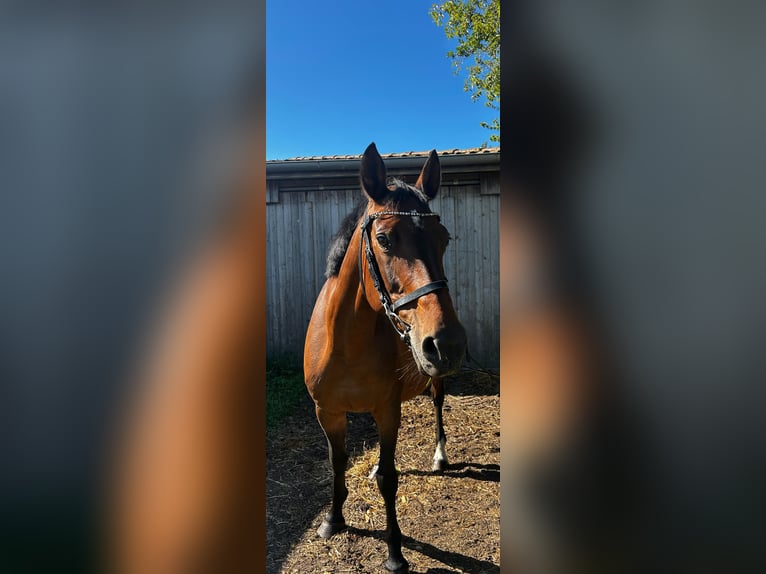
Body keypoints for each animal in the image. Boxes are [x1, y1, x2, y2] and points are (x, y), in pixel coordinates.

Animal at [304, 143, 467, 572]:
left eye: (444, 239)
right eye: (384, 239)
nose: (447, 344)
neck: (345, 343)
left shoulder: (386, 409)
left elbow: (390, 480)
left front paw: (395, 552)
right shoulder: (327, 411)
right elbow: (337, 462)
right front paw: (332, 520)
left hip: (433, 378)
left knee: (438, 403)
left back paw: (440, 457)